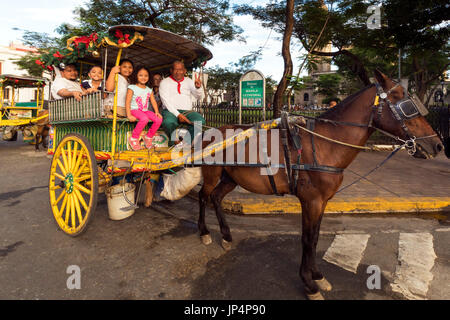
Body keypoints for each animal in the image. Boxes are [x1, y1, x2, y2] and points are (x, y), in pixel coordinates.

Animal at [197, 70, 442, 300]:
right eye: (407, 105)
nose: (438, 145)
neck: (325, 144)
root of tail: (209, 131)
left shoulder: (322, 201)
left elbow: (314, 238)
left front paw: (317, 276)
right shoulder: (311, 200)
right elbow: (307, 239)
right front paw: (309, 284)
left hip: (230, 178)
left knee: (216, 197)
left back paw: (226, 236)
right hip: (211, 174)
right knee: (203, 196)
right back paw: (204, 232)